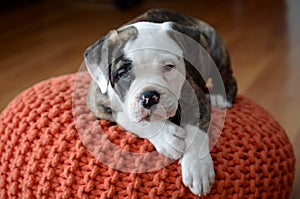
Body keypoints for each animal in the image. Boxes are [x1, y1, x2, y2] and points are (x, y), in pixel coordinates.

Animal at [84, 8, 237, 196]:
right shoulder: (98, 104)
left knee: (225, 76)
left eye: (169, 67)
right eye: (122, 73)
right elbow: (131, 119)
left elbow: (197, 133)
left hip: (214, 52)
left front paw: (197, 167)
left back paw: (221, 97)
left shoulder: (197, 100)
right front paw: (168, 138)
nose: (149, 96)